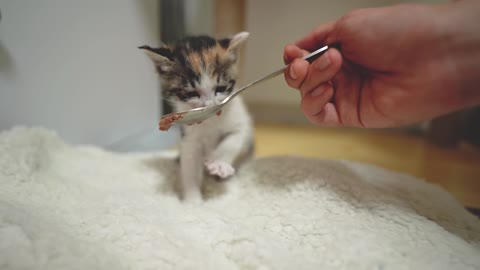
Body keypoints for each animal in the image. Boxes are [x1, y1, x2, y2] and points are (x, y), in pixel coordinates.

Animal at [140, 31, 255, 201]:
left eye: (220, 89)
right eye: (191, 93)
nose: (210, 106)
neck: (211, 120)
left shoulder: (241, 123)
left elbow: (232, 141)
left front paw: (219, 163)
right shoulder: (189, 139)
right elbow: (190, 166)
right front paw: (192, 200)